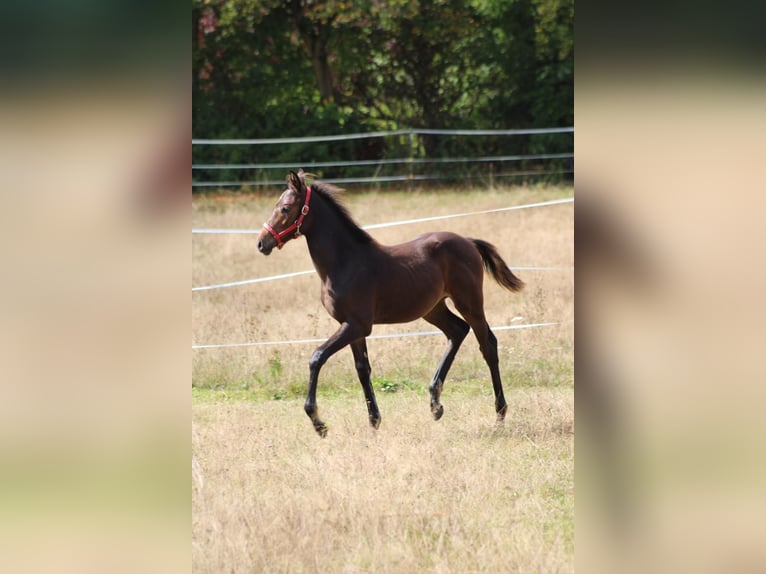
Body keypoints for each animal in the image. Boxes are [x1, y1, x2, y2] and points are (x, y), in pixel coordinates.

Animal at [260, 169, 524, 438]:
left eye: (285, 208)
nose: (262, 243)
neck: (345, 263)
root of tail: (468, 242)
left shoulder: (357, 325)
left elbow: (317, 357)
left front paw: (318, 422)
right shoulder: (352, 327)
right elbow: (362, 369)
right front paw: (374, 421)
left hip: (469, 302)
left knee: (487, 345)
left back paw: (499, 414)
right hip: (433, 308)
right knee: (457, 331)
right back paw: (435, 404)